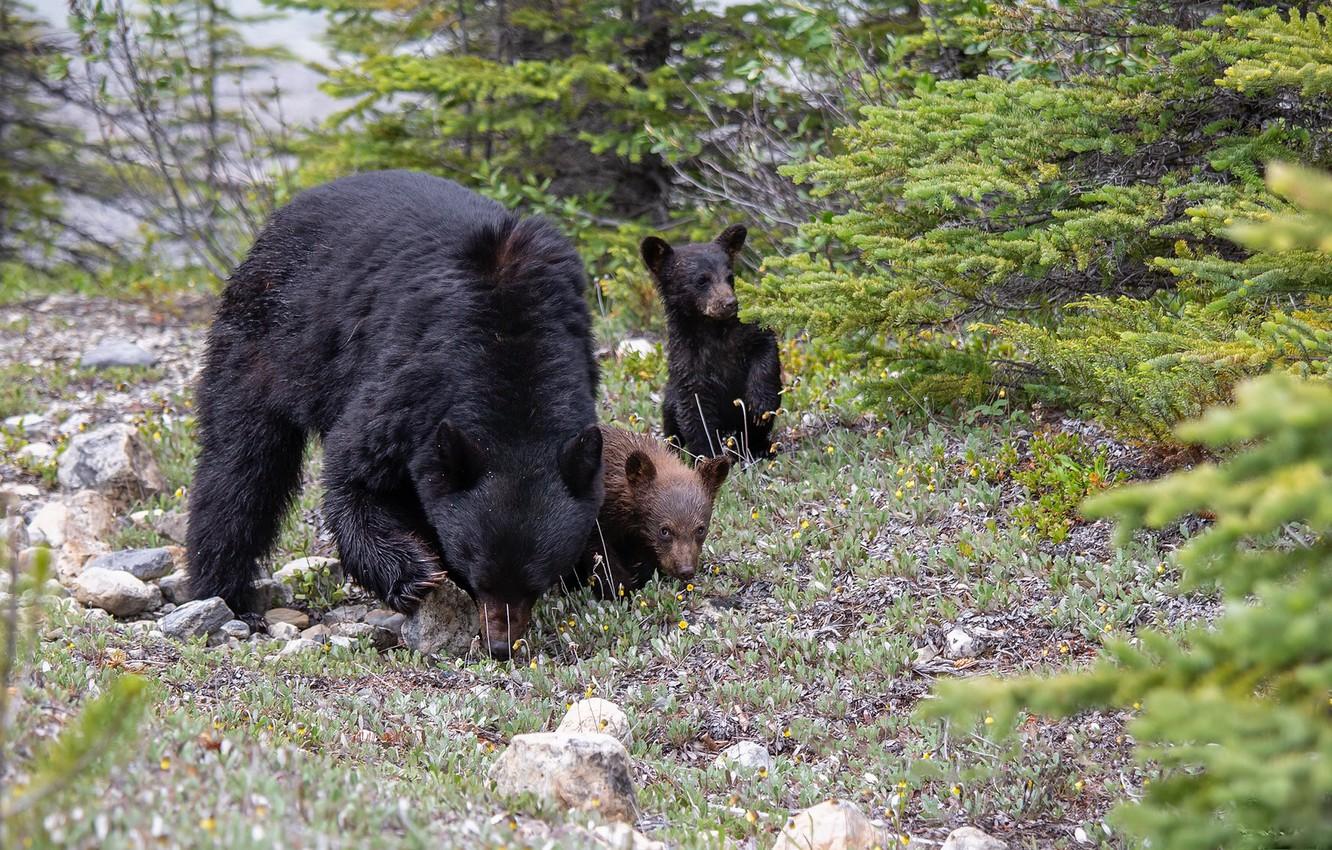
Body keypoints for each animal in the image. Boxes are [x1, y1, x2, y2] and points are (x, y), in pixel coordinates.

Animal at [186, 170, 604, 659]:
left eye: (535, 584)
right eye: (480, 575)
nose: (501, 645)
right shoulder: (410, 382)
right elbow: (354, 477)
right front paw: (415, 574)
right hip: (269, 337)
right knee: (240, 465)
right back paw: (224, 594)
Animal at [579, 425, 730, 598]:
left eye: (700, 529)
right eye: (664, 530)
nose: (686, 570)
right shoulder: (596, 525)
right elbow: (601, 557)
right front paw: (621, 591)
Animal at [640, 225, 782, 461]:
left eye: (730, 277)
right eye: (701, 280)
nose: (729, 303)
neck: (712, 329)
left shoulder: (745, 332)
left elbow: (766, 347)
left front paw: (760, 403)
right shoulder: (687, 361)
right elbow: (695, 412)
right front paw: (708, 457)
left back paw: (759, 447)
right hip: (669, 400)